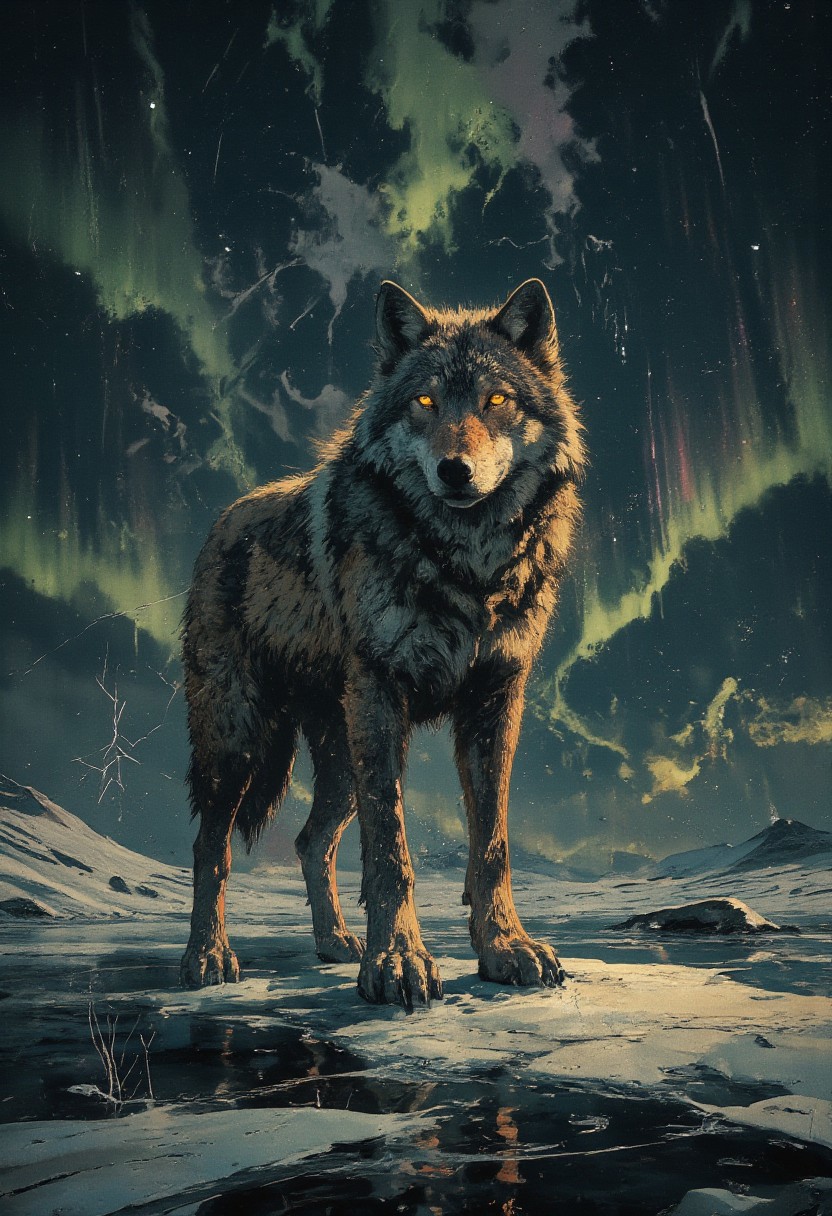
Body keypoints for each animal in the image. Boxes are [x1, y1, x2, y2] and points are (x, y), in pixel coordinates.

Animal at [180, 278, 586, 1008]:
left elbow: (492, 845)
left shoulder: (495, 699)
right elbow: (393, 850)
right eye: (425, 403)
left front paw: (505, 949)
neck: (465, 567)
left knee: (311, 841)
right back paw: (208, 957)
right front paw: (397, 962)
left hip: (339, 758)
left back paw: (334, 943)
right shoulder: (381, 695)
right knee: (210, 848)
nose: (455, 471)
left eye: (496, 402)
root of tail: (223, 521)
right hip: (242, 743)